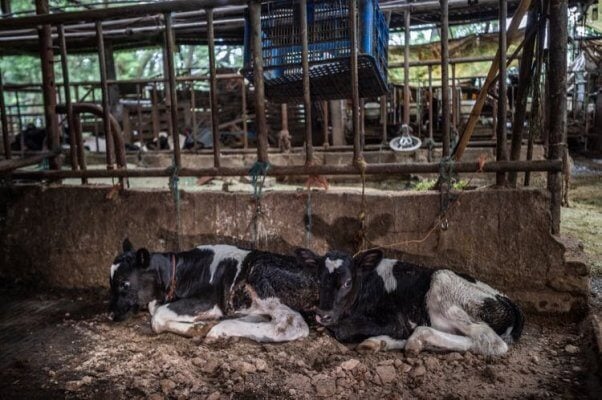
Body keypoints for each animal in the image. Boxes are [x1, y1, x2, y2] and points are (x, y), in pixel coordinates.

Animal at [110, 239, 322, 342]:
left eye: (124, 283)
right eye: (110, 282)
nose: (110, 315)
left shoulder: (208, 300)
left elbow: (157, 316)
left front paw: (201, 327)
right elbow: (156, 311)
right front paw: (196, 327)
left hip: (262, 279)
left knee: (291, 324)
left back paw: (221, 329)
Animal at [296, 247, 520, 356]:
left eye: (347, 282)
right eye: (318, 279)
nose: (324, 314)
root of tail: (506, 299)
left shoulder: (394, 320)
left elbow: (342, 329)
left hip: (443, 281)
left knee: (490, 341)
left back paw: (416, 340)